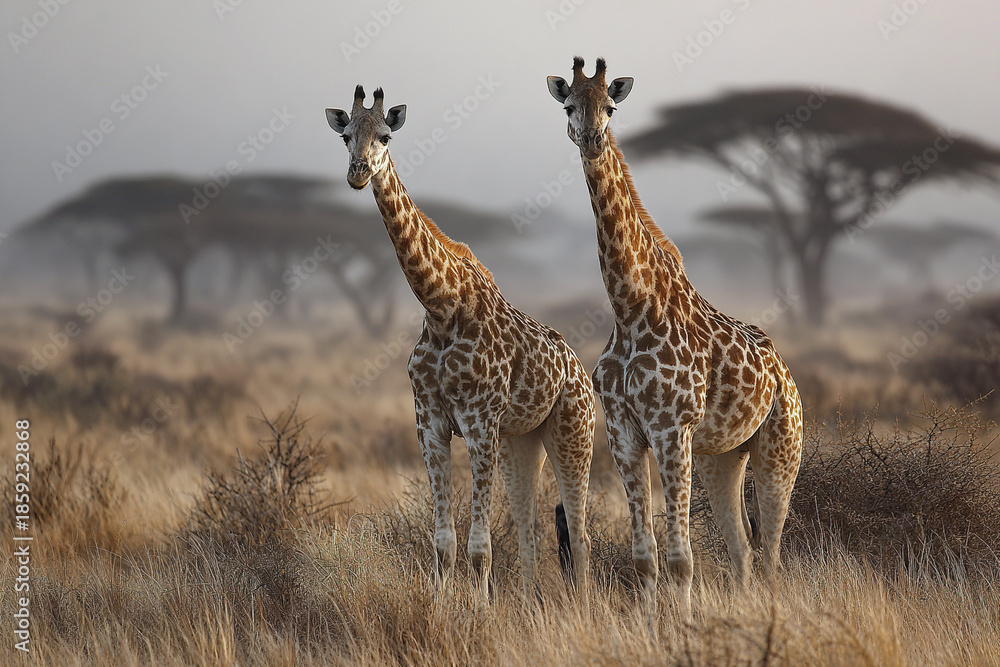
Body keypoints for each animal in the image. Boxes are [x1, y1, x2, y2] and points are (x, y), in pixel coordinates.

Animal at [325, 86, 595, 603]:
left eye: (386, 135)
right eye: (346, 135)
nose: (358, 173)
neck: (441, 306)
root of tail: (581, 371)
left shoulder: (478, 424)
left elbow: (479, 548)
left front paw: (481, 611)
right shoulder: (429, 424)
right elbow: (444, 543)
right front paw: (442, 605)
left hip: (573, 433)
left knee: (579, 530)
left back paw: (583, 607)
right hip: (521, 442)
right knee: (530, 527)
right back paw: (528, 603)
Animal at [547, 58, 803, 619]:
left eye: (611, 105)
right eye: (569, 104)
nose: (592, 137)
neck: (630, 308)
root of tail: (786, 375)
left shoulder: (671, 428)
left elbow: (681, 559)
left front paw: (682, 626)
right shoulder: (623, 431)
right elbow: (645, 555)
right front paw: (649, 623)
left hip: (781, 447)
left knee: (773, 553)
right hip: (721, 457)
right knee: (743, 548)